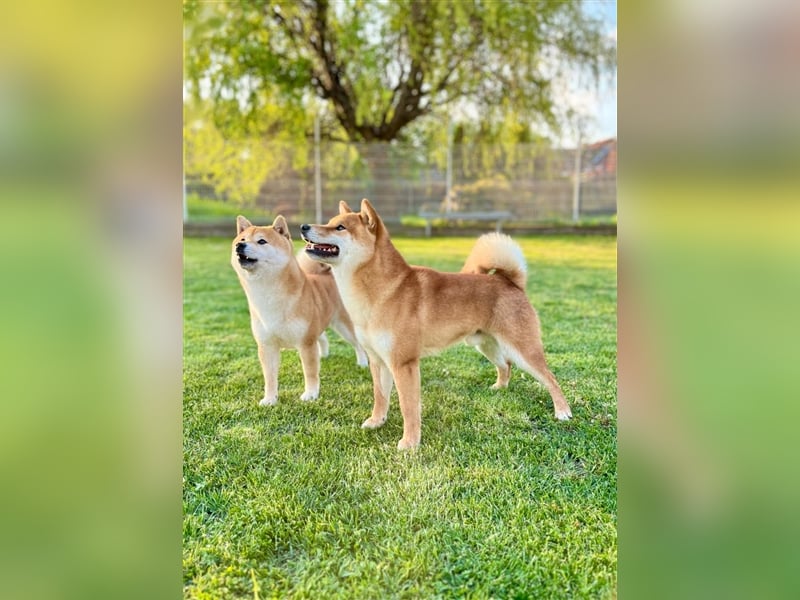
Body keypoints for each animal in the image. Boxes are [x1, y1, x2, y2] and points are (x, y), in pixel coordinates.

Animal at [231, 213, 368, 406]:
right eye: (242, 239)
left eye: (262, 241)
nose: (240, 246)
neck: (269, 297)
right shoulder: (267, 346)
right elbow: (270, 377)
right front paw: (270, 399)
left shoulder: (306, 343)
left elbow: (310, 373)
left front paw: (310, 395)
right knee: (323, 338)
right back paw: (323, 355)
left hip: (344, 325)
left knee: (357, 344)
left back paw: (362, 362)